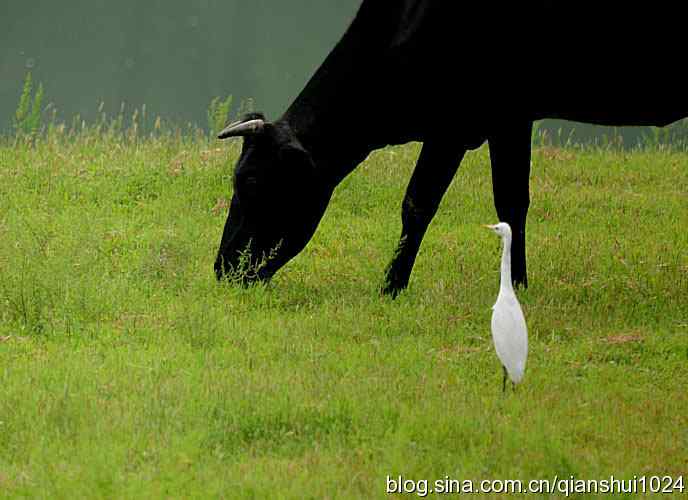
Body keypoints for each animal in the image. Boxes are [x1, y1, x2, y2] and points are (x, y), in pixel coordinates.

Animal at [212, 0, 684, 296]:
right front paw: (518, 285)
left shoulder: (454, 123)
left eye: (250, 180)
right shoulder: (509, 116)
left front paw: (391, 286)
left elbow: (418, 202)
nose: (222, 268)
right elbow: (512, 201)